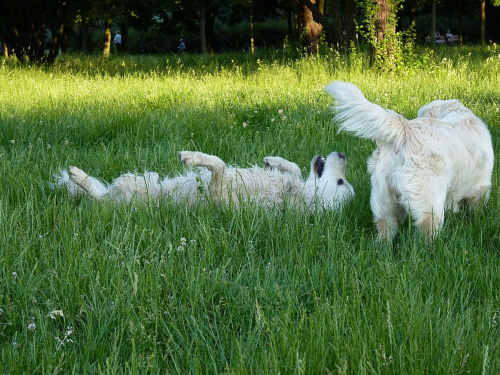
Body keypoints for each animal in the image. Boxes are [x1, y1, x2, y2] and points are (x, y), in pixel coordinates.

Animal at [326, 81, 494, 242]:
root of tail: (405, 129)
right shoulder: (481, 187)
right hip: (429, 203)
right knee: (426, 232)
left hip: (385, 202)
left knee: (385, 230)